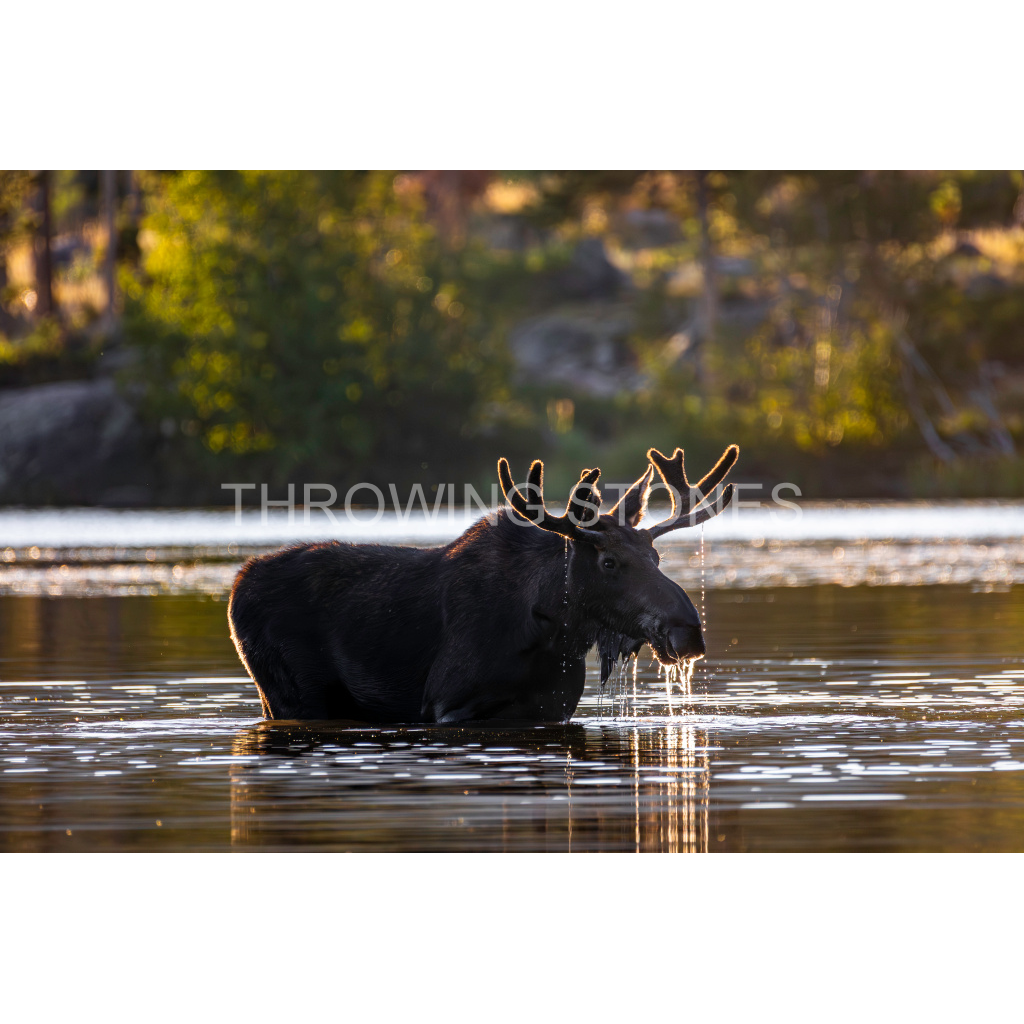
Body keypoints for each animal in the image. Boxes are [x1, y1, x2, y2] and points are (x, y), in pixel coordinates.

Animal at [227, 443, 739, 724]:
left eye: (656, 557)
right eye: (610, 562)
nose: (687, 630)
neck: (552, 633)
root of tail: (236, 587)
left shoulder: (553, 710)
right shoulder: (448, 704)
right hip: (291, 695)